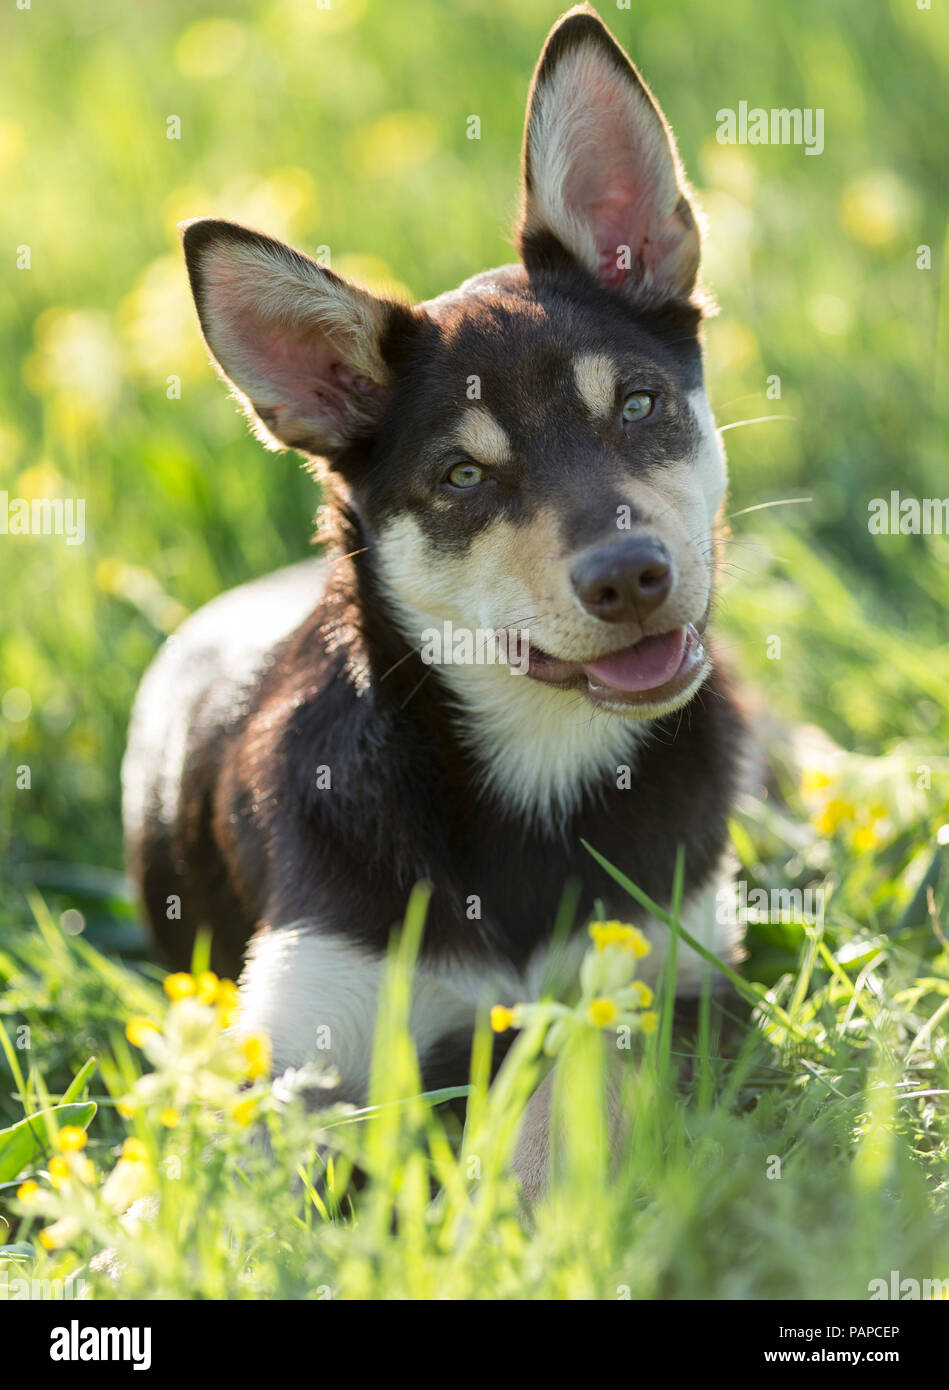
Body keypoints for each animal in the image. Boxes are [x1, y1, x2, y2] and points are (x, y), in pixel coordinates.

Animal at [122, 0, 744, 1195]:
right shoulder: (289, 1047)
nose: (630, 576)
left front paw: (530, 1204)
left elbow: (579, 1076)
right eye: (460, 476)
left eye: (639, 405)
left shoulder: (675, 984)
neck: (530, 775)